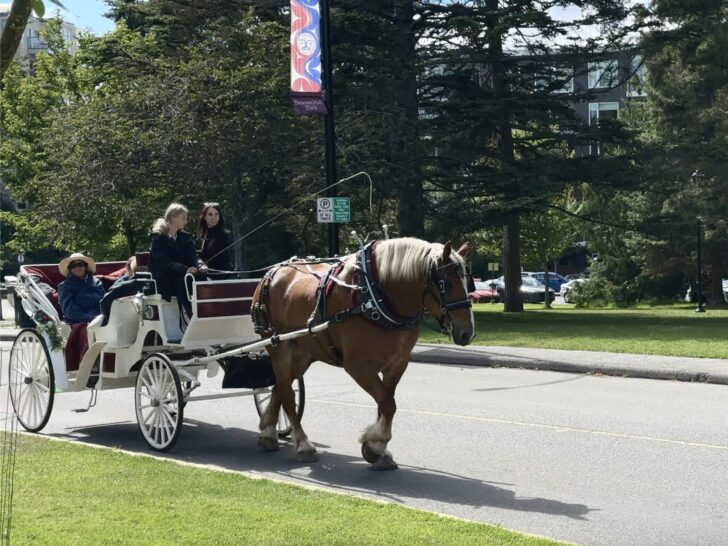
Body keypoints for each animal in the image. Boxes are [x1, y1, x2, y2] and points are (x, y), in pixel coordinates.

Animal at [250, 236, 478, 470]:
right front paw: (376, 443)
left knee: (280, 386)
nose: (467, 333)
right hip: (278, 345)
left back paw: (268, 432)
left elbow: (385, 403)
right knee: (287, 393)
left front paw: (377, 448)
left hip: (304, 352)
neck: (374, 296)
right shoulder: (357, 365)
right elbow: (388, 403)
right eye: (446, 284)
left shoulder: (397, 363)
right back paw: (303, 445)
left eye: (467, 282)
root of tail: (271, 273)